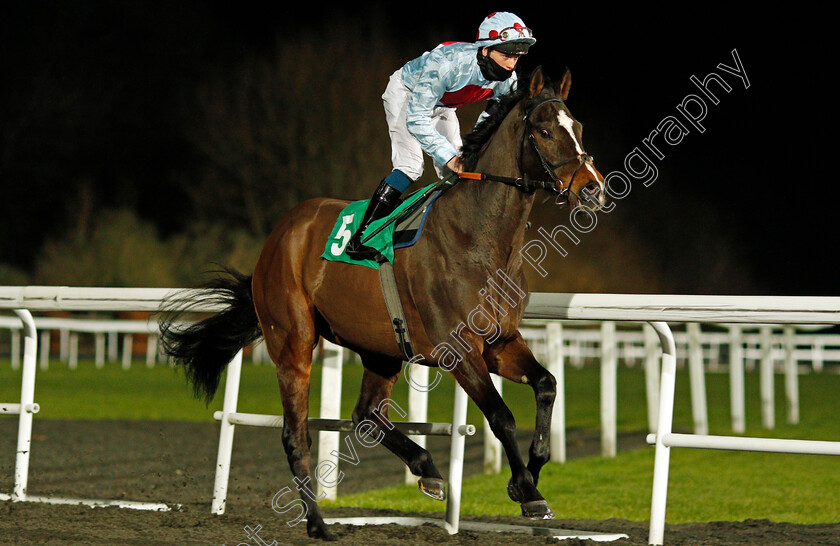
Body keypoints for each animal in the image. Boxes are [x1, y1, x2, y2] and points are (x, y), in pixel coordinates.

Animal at [161, 66, 604, 536]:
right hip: (293, 340)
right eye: (544, 131)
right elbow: (501, 416)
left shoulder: (500, 342)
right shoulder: (459, 349)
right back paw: (318, 524)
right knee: (296, 434)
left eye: (577, 128)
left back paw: (427, 469)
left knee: (366, 415)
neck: (477, 238)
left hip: (382, 349)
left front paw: (528, 477)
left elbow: (547, 384)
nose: (592, 189)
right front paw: (529, 491)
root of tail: (278, 236)